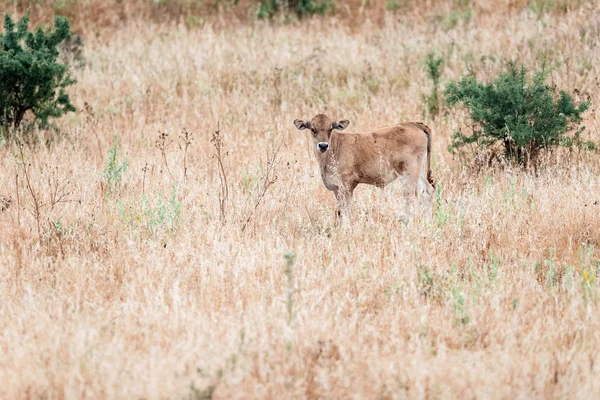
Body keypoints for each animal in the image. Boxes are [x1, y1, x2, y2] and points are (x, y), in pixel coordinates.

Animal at [292, 113, 434, 222]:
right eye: (313, 129)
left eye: (330, 129)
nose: (323, 145)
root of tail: (413, 124)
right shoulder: (336, 188)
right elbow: (340, 211)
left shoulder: (347, 185)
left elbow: (344, 210)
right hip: (419, 171)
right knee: (426, 191)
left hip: (408, 172)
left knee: (410, 195)